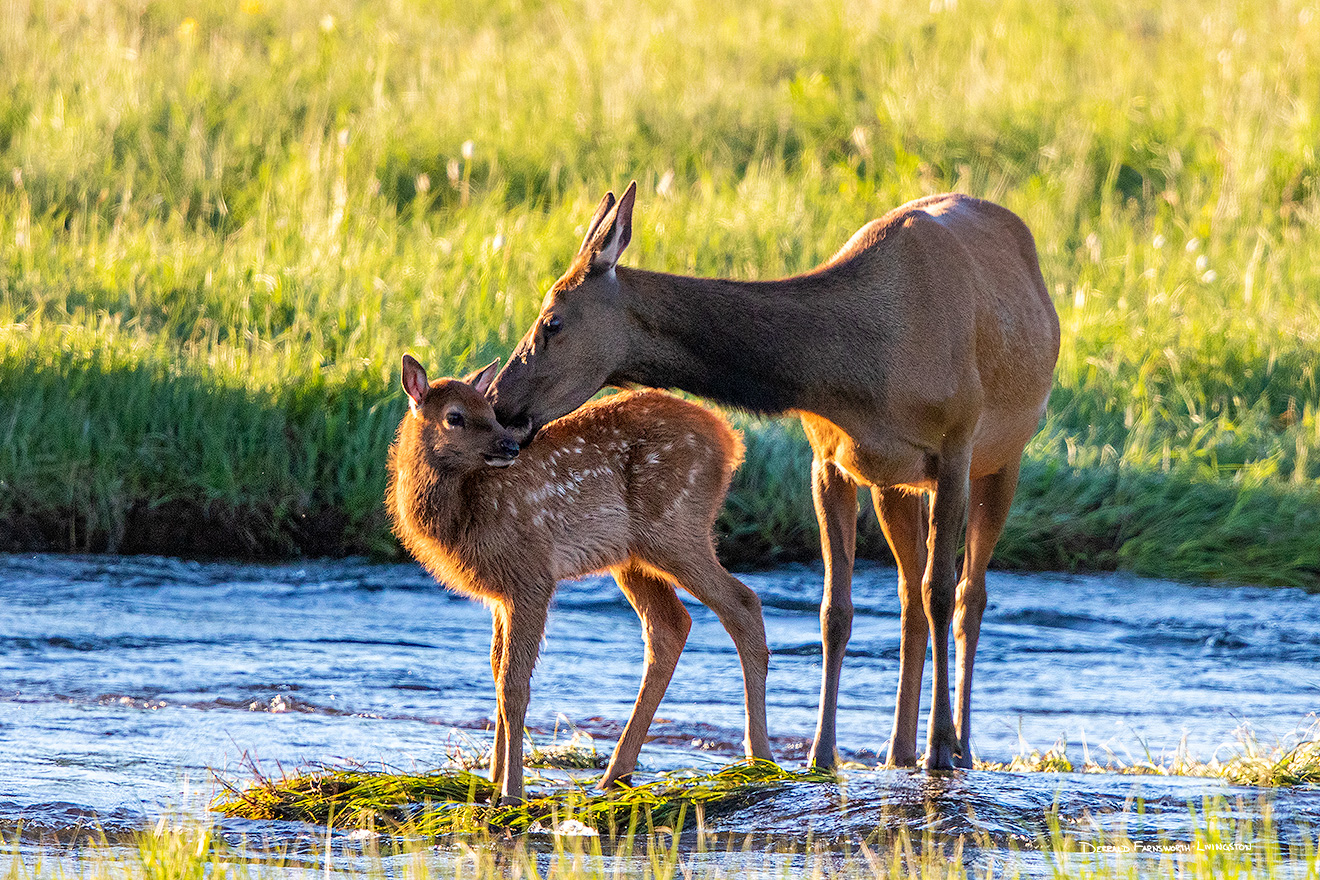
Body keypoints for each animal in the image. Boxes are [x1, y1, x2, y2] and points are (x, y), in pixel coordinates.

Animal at [382, 353, 770, 802]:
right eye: (455, 416)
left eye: (490, 411)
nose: (510, 446)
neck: (460, 514)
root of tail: (731, 439)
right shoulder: (500, 593)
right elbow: (496, 674)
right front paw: (492, 780)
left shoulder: (531, 573)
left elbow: (514, 686)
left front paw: (511, 792)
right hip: (632, 555)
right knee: (670, 625)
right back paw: (615, 775)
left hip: (674, 527)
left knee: (741, 603)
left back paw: (760, 760)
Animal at [488, 184, 1061, 770]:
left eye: (552, 320)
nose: (497, 400)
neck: (857, 374)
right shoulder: (829, 459)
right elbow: (835, 610)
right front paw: (822, 753)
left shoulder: (955, 449)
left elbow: (941, 592)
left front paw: (940, 748)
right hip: (895, 485)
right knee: (908, 596)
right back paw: (898, 748)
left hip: (1004, 457)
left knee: (968, 595)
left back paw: (957, 745)